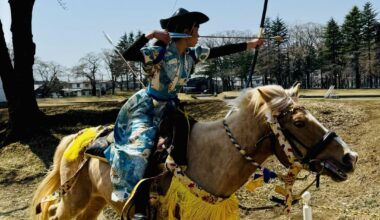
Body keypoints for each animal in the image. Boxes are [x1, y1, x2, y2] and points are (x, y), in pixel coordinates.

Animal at [31, 84, 358, 220]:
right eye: (300, 122)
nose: (349, 157)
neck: (211, 157)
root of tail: (77, 137)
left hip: (95, 200)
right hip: (74, 198)